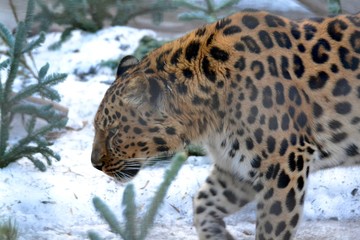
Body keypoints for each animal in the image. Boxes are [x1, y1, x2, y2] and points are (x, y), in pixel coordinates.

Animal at [91, 9, 360, 240]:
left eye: (113, 131)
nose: (95, 164)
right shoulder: (236, 167)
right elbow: (203, 203)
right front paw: (218, 234)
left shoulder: (285, 163)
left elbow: (272, 226)